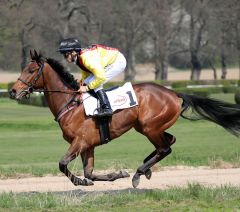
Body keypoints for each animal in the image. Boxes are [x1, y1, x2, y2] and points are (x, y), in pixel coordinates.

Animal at [9, 50, 240, 188]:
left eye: (30, 70)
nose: (12, 91)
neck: (70, 104)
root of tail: (174, 93)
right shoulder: (87, 145)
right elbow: (90, 172)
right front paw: (114, 175)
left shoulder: (80, 142)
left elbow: (63, 164)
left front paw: (80, 182)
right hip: (148, 127)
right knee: (169, 141)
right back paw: (146, 167)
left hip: (149, 127)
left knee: (165, 148)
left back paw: (139, 173)